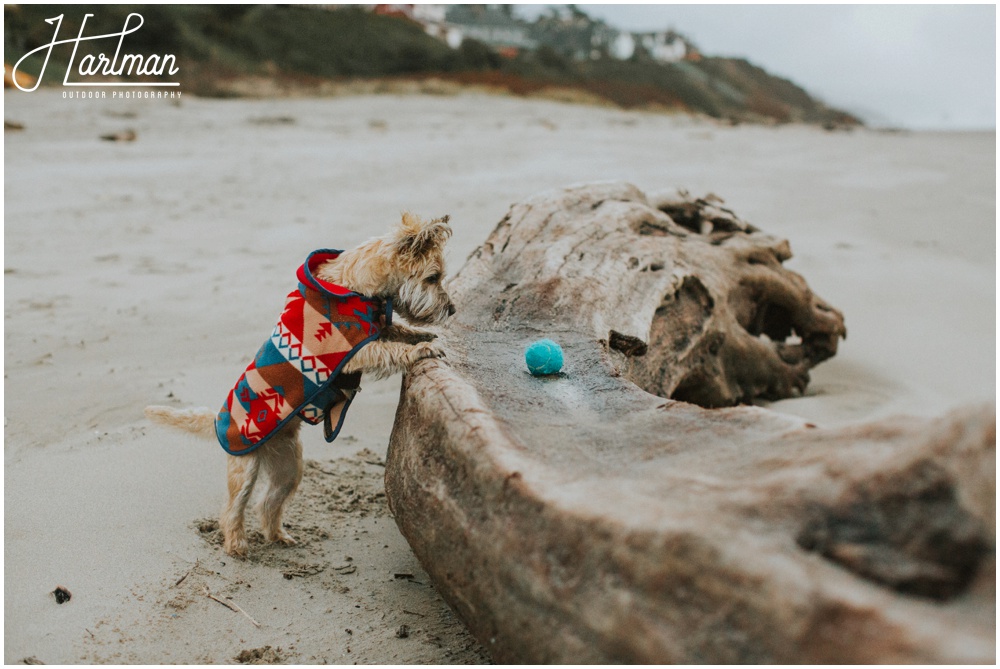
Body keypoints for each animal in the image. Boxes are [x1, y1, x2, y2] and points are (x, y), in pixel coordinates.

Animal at [146, 211, 458, 556]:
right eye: (433, 277)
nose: (452, 309)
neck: (355, 286)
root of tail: (216, 418)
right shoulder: (354, 352)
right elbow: (389, 350)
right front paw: (421, 349)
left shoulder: (377, 329)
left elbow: (398, 330)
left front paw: (423, 336)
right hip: (245, 469)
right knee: (233, 509)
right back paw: (237, 544)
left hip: (289, 469)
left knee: (268, 503)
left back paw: (278, 536)